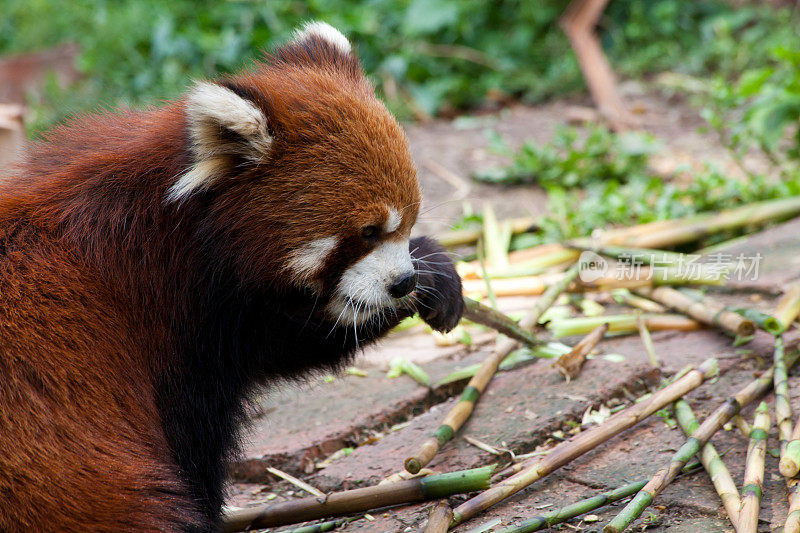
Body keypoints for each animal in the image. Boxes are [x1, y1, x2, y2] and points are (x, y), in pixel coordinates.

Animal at [0, 22, 462, 528]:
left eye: (406, 222)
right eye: (367, 232)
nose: (402, 283)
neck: (177, 228)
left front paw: (436, 273)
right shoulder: (166, 320)